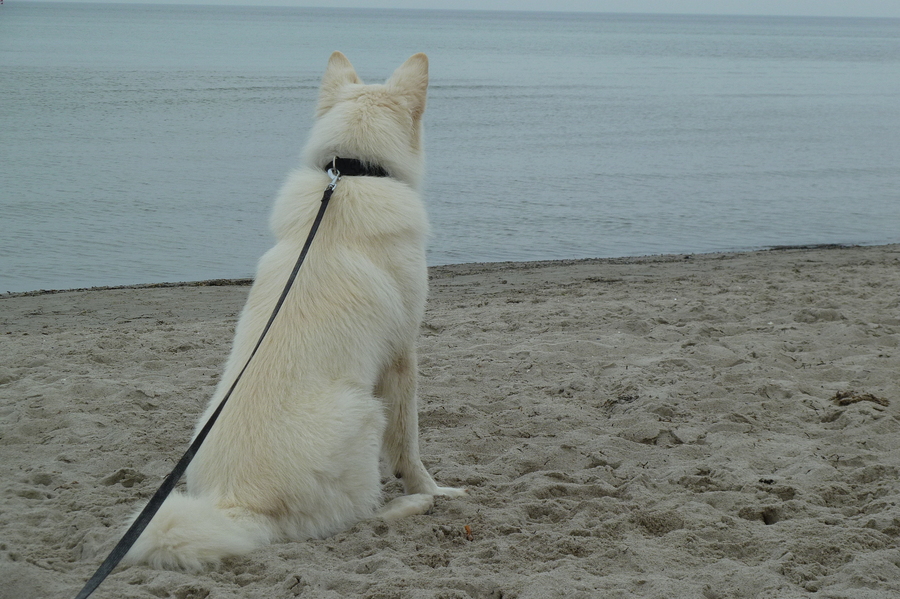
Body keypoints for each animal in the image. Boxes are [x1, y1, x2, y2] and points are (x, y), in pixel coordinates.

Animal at [122, 51, 464, 572]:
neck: (353, 174)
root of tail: (240, 503)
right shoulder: (402, 356)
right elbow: (409, 446)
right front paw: (433, 487)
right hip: (366, 412)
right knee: (362, 518)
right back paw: (415, 503)